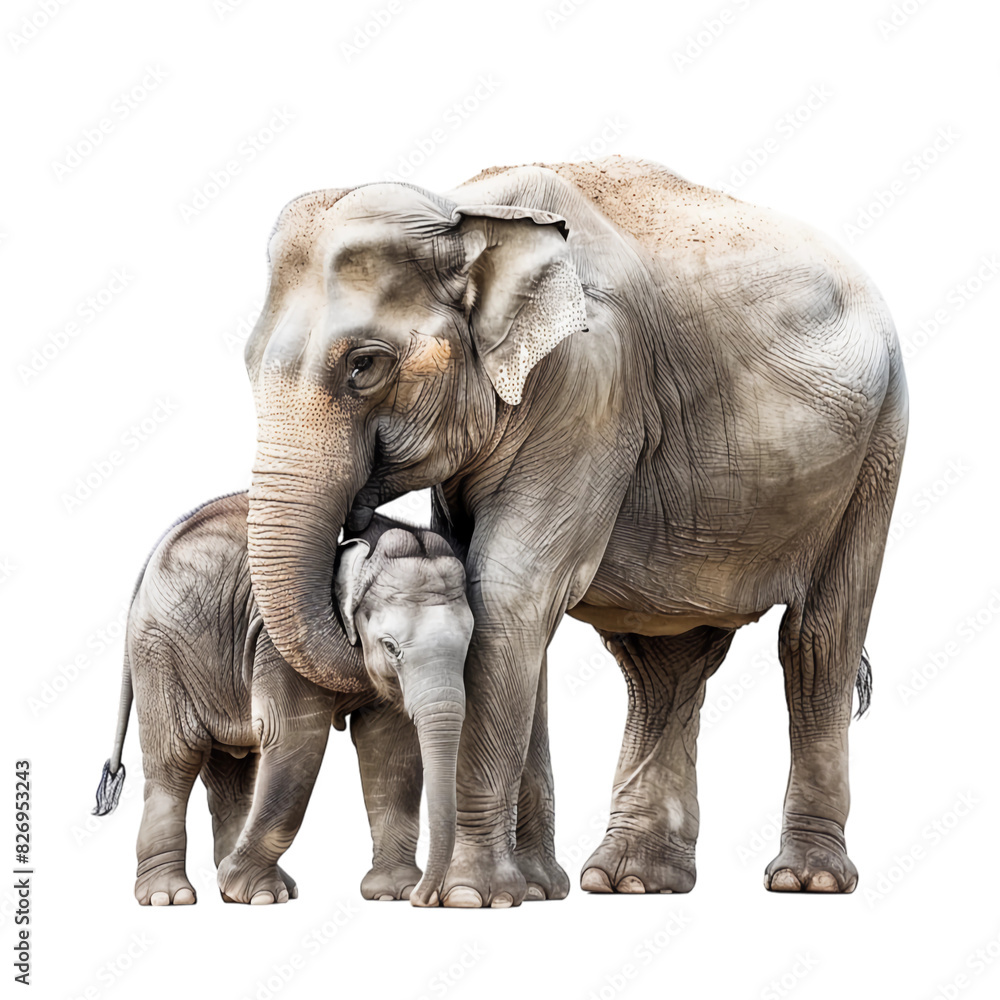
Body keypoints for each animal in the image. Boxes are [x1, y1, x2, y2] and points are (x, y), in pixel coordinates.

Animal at [93, 492, 473, 906]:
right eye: (391, 646)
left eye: (471, 640)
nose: (426, 899)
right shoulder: (278, 642)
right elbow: (297, 738)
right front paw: (252, 891)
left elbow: (390, 748)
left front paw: (393, 893)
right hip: (159, 651)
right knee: (176, 757)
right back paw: (171, 896)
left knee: (232, 771)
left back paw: (248, 891)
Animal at [243, 156, 908, 906]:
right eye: (248, 363)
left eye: (365, 366)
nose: (355, 530)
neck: (464, 213)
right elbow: (497, 600)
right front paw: (535, 890)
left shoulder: (590, 386)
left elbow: (509, 594)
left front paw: (471, 897)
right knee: (662, 667)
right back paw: (629, 881)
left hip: (878, 446)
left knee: (818, 641)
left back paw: (805, 880)